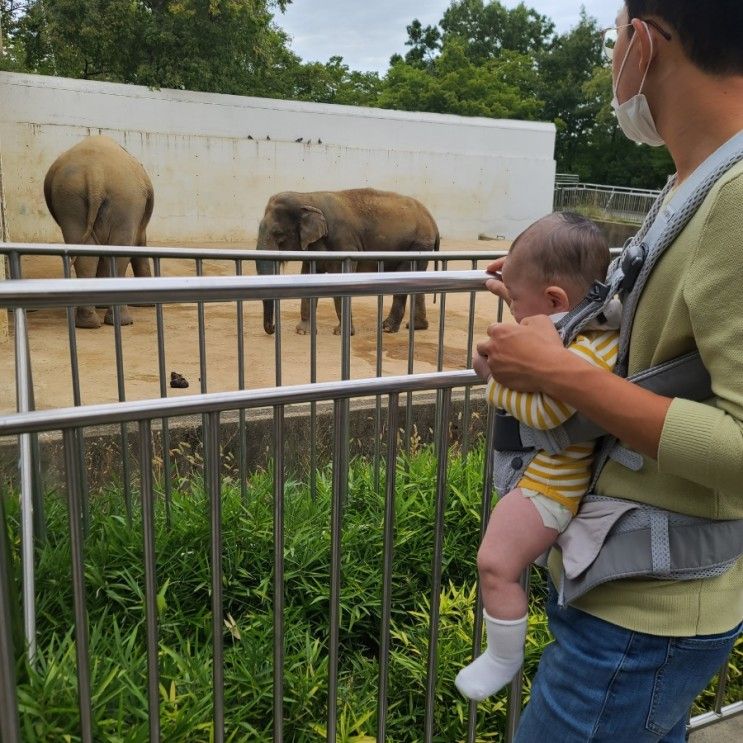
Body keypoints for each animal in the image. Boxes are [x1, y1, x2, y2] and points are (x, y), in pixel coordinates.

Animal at [43, 137, 154, 328]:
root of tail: (95, 174)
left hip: (70, 198)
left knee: (86, 253)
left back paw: (87, 323)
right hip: (126, 199)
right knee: (119, 253)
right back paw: (123, 322)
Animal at [258, 187, 438, 336]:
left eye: (278, 234)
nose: (274, 327)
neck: (307, 197)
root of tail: (433, 221)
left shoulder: (343, 242)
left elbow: (339, 276)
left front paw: (342, 333)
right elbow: (308, 276)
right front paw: (303, 332)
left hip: (417, 245)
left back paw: (387, 328)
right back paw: (416, 327)